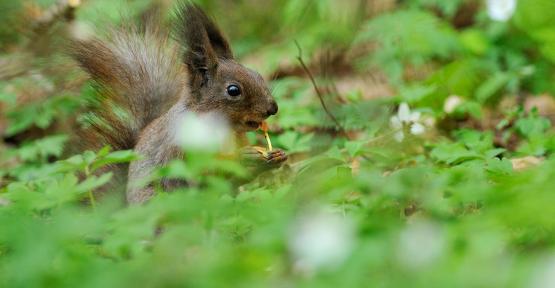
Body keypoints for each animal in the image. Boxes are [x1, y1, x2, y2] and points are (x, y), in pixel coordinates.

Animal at [72, 3, 288, 204]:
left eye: (257, 74)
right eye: (233, 90)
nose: (273, 108)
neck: (225, 130)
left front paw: (277, 156)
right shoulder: (183, 149)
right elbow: (207, 173)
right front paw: (247, 158)